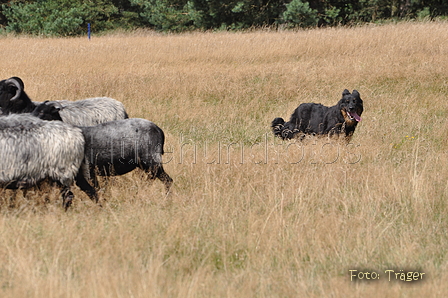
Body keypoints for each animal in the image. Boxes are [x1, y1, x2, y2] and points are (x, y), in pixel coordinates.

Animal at [32, 102, 173, 193]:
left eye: (43, 112)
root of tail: (158, 130)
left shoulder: (89, 170)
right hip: (144, 164)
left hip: (151, 160)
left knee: (167, 180)